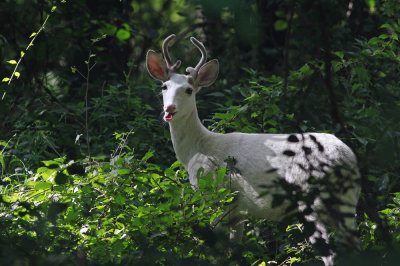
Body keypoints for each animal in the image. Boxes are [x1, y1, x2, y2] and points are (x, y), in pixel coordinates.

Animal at [146, 34, 360, 264]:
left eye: (189, 90)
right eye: (164, 87)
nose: (169, 109)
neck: (197, 149)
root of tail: (343, 158)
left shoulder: (214, 195)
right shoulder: (238, 209)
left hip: (309, 198)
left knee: (331, 254)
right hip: (348, 201)